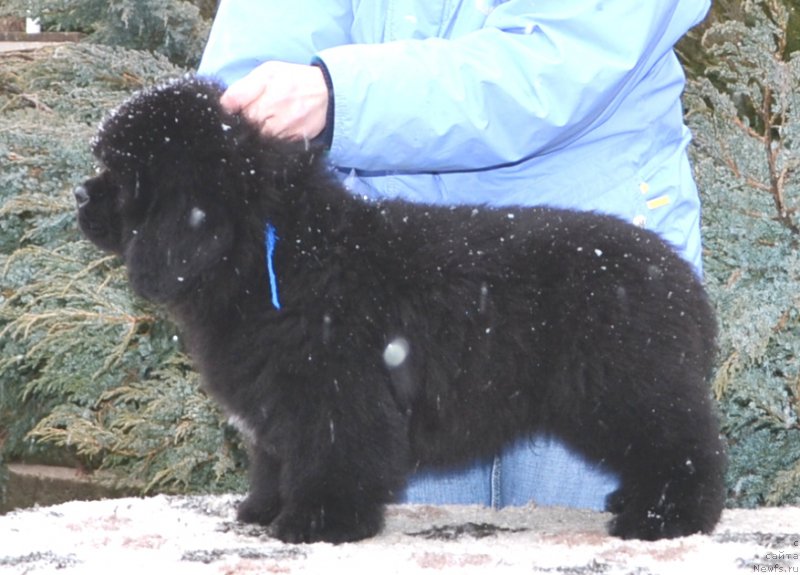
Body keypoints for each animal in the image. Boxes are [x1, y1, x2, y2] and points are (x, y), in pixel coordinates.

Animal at [75, 77, 724, 544]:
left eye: (125, 177)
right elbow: (274, 457)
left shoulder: (333, 390)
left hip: (625, 388)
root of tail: (682, 280)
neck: (280, 250)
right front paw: (262, 509)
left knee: (686, 448)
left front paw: (317, 524)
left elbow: (333, 457)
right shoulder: (277, 401)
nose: (81, 193)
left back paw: (666, 520)